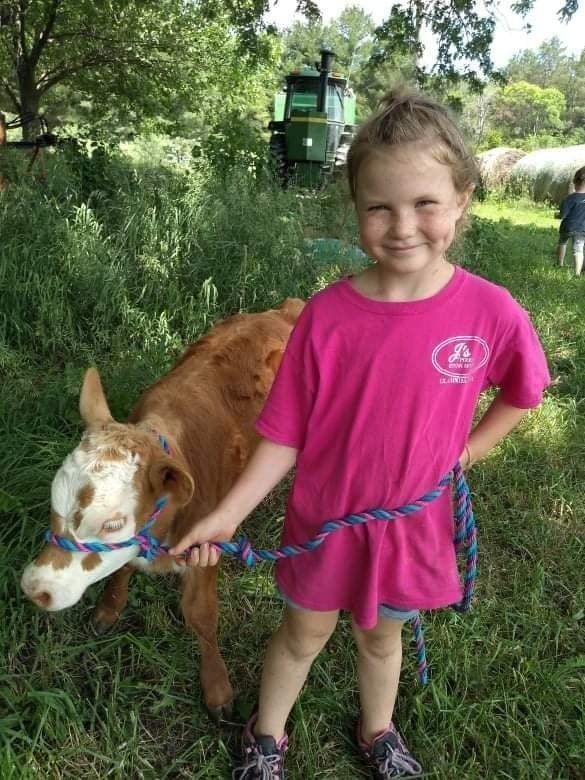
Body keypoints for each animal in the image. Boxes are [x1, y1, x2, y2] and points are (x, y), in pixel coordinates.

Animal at [21, 298, 304, 719]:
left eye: (113, 524)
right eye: (55, 499)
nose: (34, 588)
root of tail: (283, 310)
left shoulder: (207, 545)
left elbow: (201, 615)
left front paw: (217, 689)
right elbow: (121, 571)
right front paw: (109, 610)